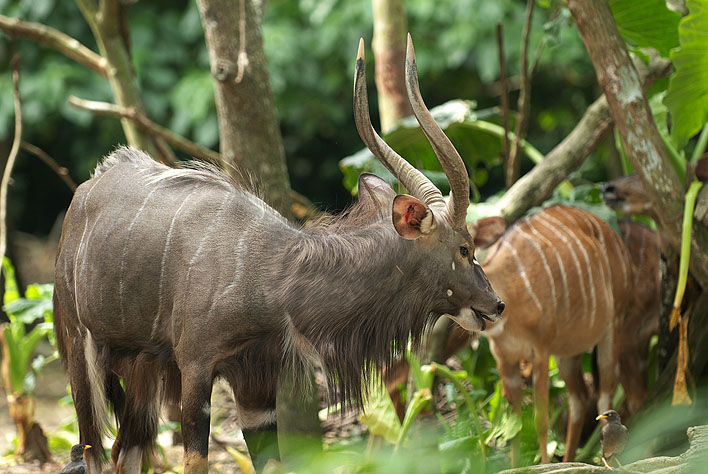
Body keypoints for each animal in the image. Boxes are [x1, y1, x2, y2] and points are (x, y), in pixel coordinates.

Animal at [51, 37, 504, 474]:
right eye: (464, 247)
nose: (496, 305)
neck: (274, 274)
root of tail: (83, 193)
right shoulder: (196, 368)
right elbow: (195, 461)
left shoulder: (256, 383)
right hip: (80, 353)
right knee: (93, 452)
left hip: (142, 371)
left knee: (124, 453)